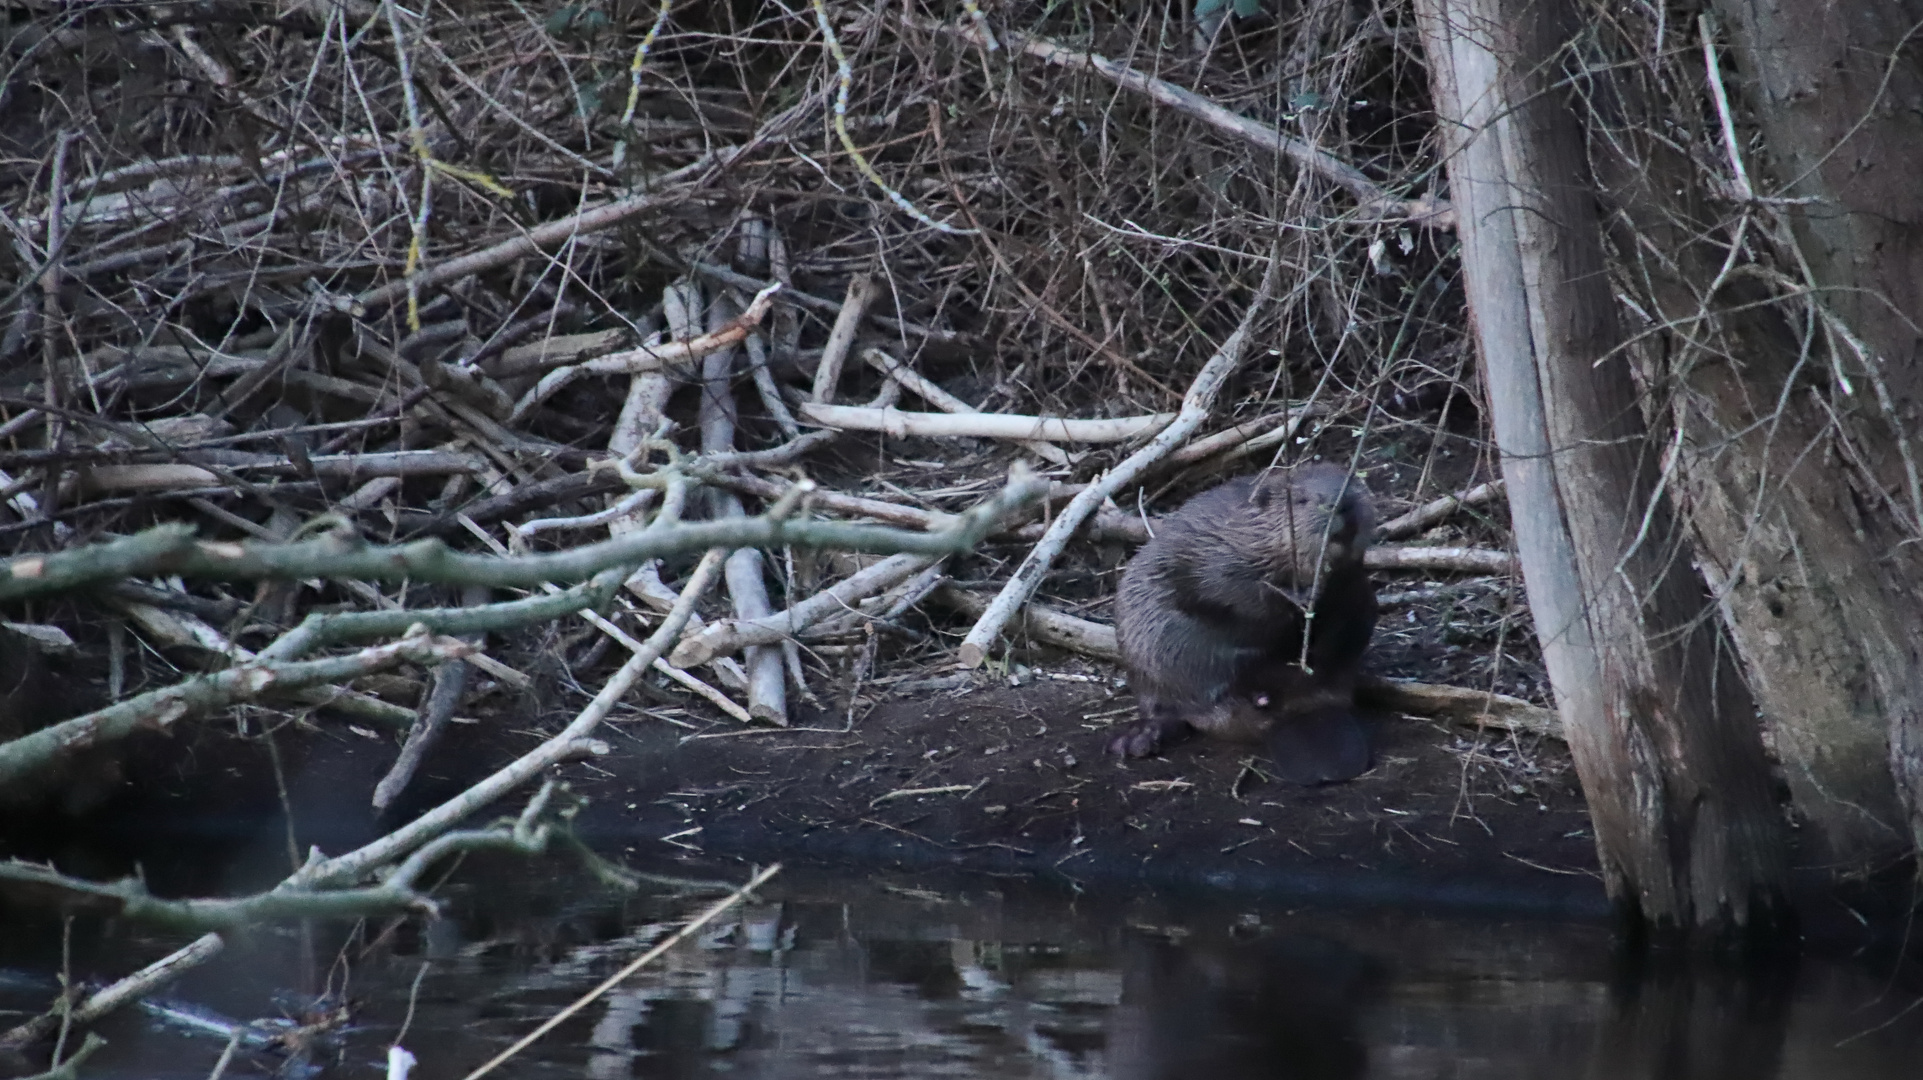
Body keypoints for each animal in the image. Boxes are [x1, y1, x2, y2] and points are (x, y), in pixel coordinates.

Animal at [1107, 457, 1376, 776]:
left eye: (1353, 483)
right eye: (1301, 499)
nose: (1342, 504)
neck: (1249, 530)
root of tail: (1302, 714)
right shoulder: (1219, 552)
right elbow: (1231, 590)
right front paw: (1302, 595)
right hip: (1147, 664)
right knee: (1168, 707)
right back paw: (1137, 740)